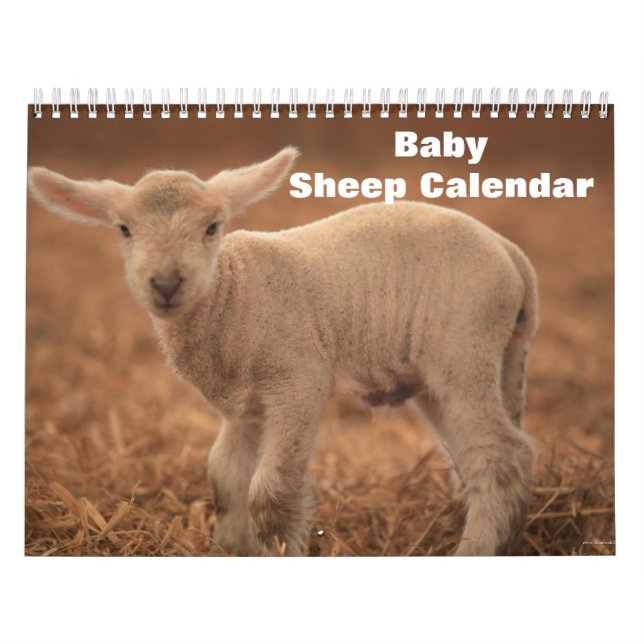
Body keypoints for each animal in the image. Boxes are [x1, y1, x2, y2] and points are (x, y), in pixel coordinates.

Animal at [27, 147, 538, 556]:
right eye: (124, 229)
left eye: (212, 228)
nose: (167, 284)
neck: (233, 294)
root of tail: (510, 252)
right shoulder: (244, 405)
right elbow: (224, 479)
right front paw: (228, 549)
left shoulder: (297, 379)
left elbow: (270, 492)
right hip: (456, 369)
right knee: (477, 456)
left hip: (464, 347)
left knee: (499, 457)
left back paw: (474, 549)